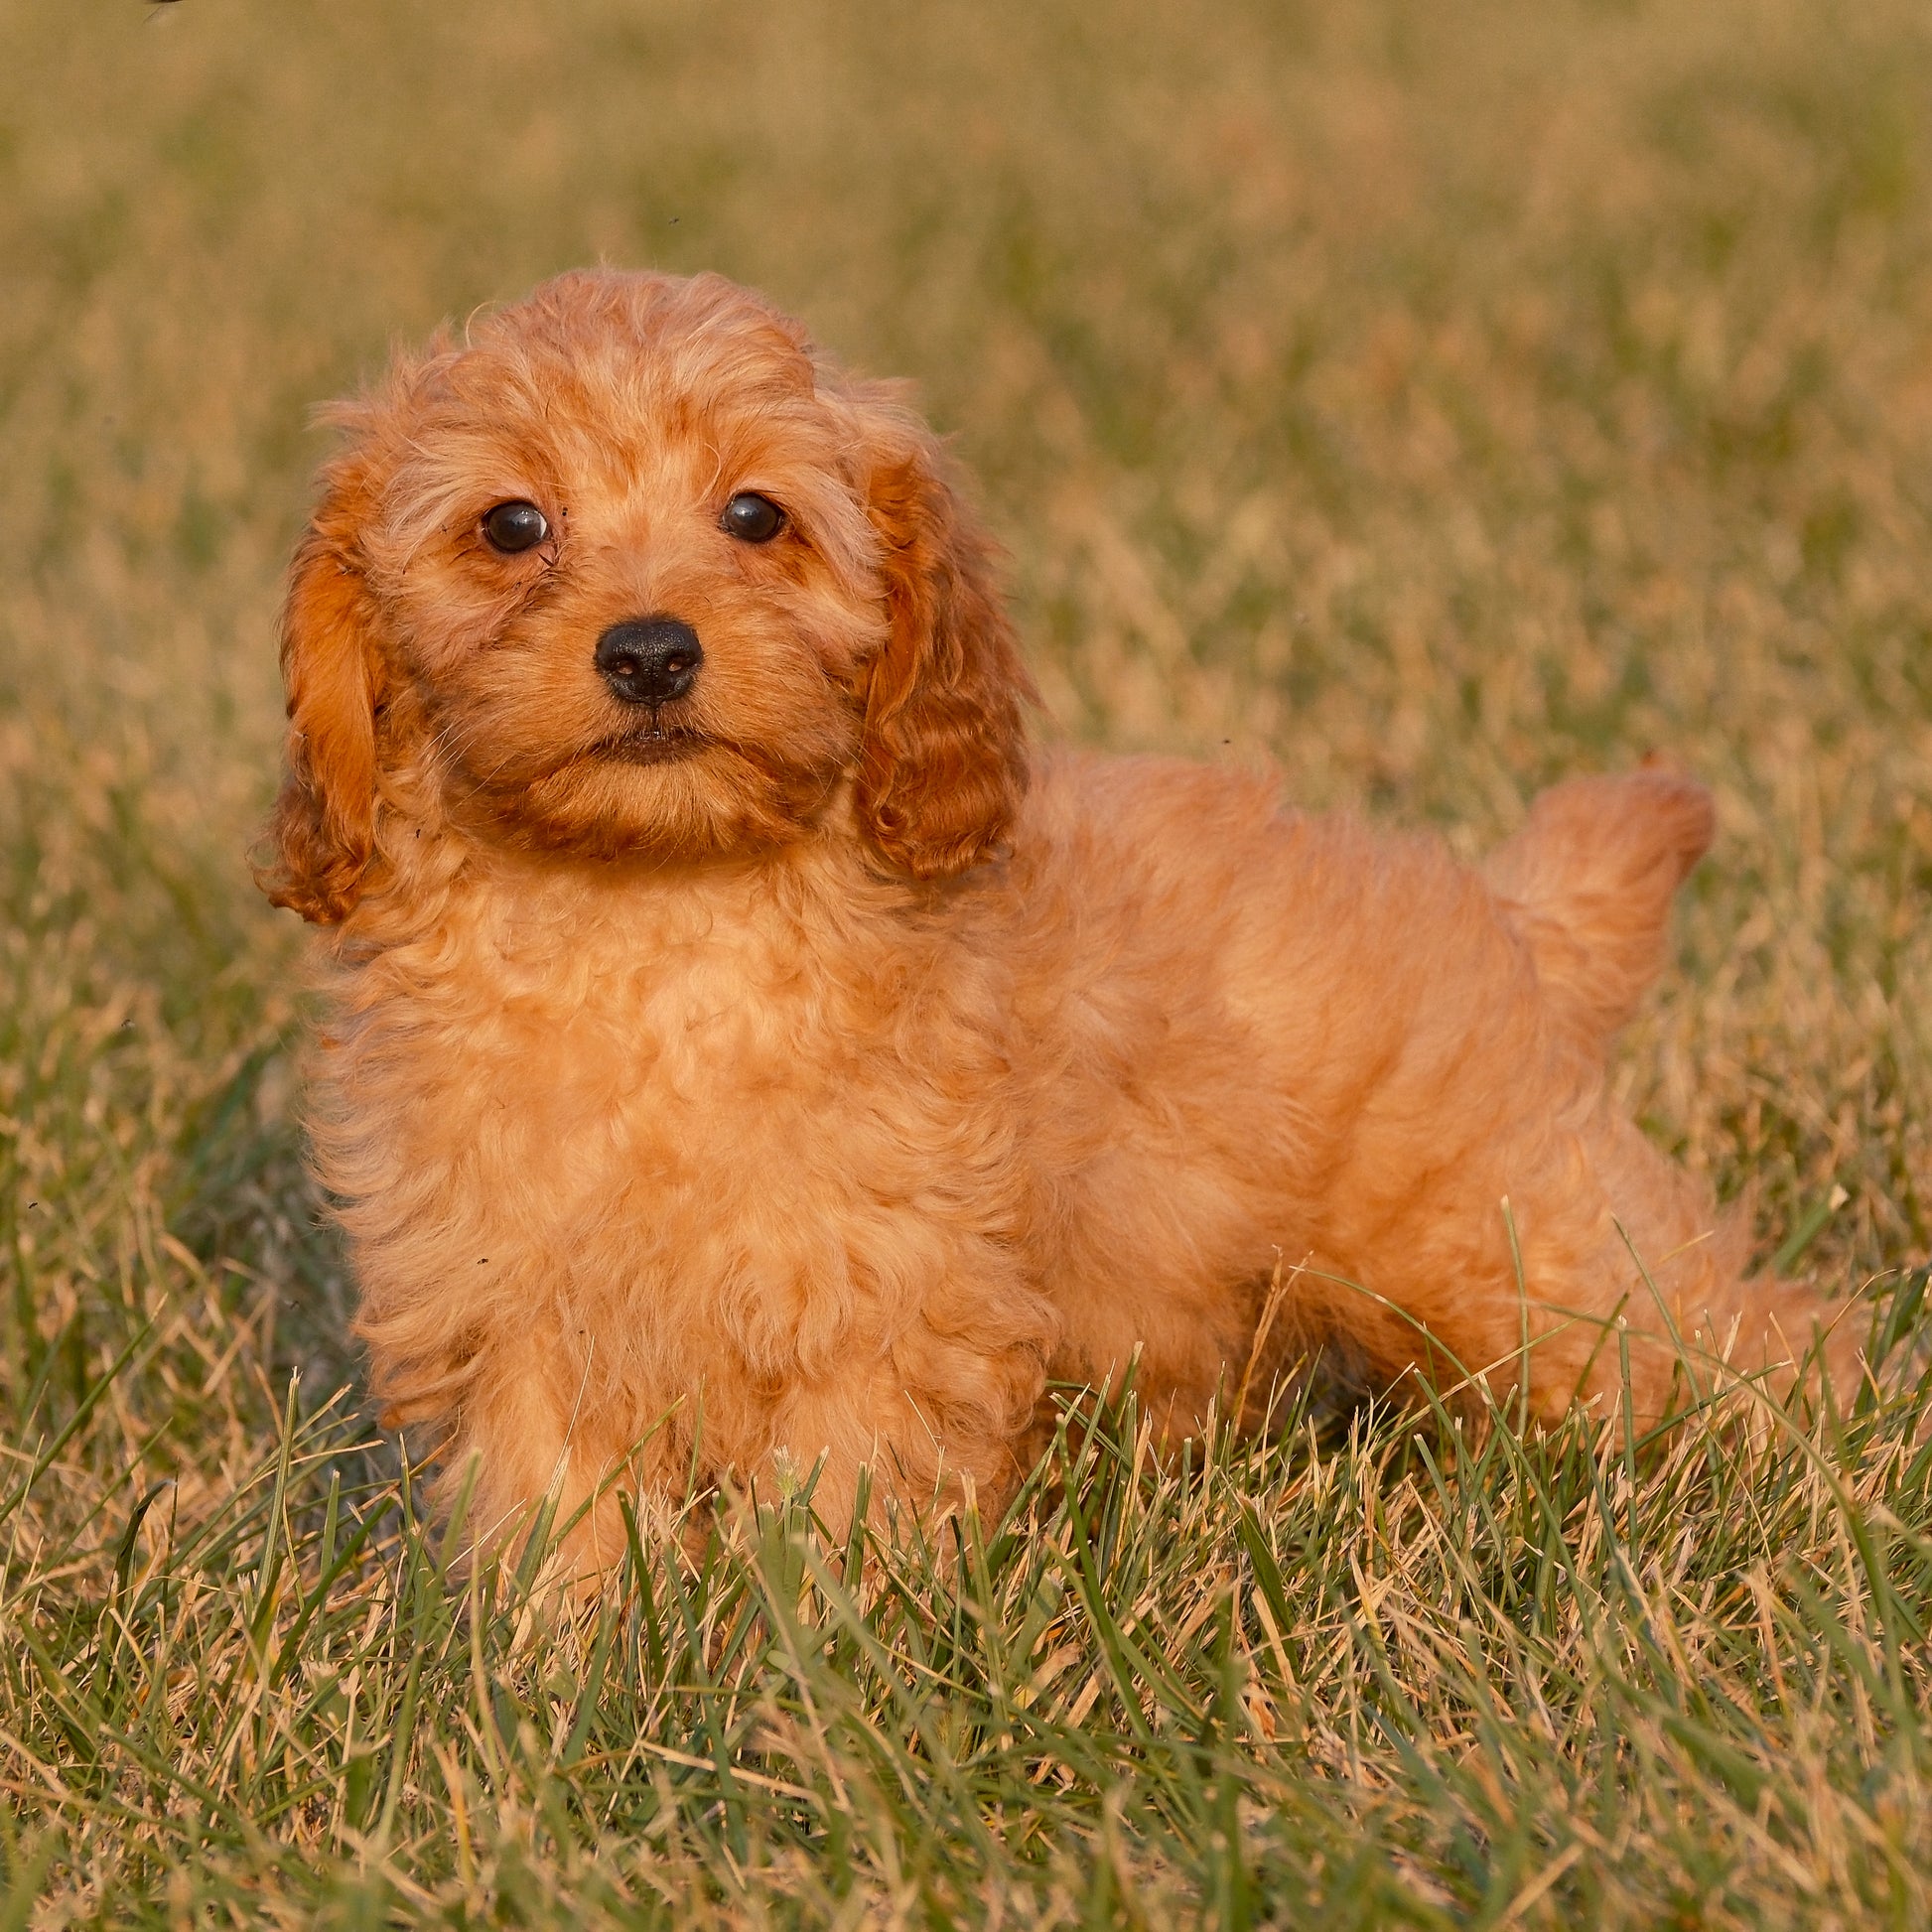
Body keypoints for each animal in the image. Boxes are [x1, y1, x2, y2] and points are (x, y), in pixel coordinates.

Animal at [256, 268, 1855, 1553]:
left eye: (756, 516)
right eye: (510, 524)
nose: (649, 652)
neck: (655, 921)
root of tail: (1507, 913)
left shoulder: (885, 1301)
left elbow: (831, 1511)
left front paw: (804, 1681)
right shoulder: (515, 1309)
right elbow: (556, 1525)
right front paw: (557, 1686)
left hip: (1522, 1240)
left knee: (1726, 1334)